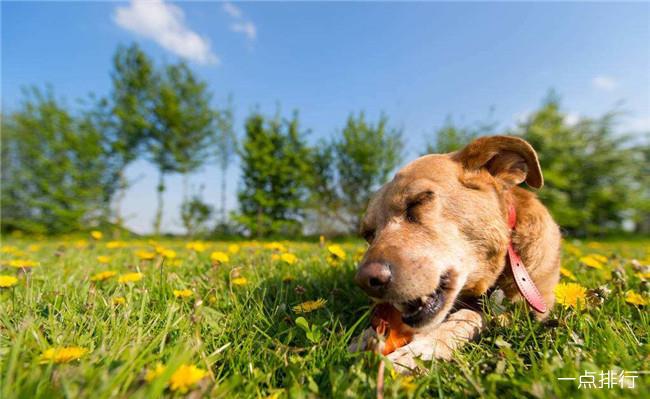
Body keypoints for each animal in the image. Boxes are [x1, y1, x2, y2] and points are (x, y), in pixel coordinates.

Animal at [350, 136, 556, 374]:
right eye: (368, 234)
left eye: (419, 201)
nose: (366, 282)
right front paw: (367, 336)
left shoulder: (525, 311)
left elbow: (468, 317)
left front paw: (417, 353)